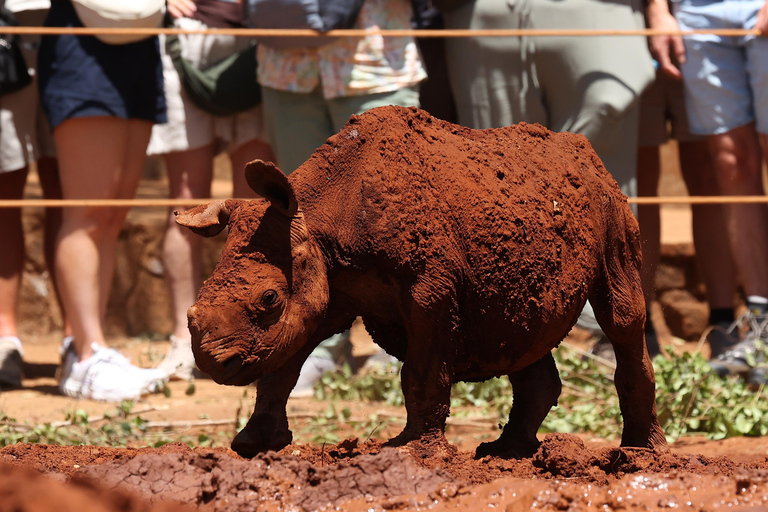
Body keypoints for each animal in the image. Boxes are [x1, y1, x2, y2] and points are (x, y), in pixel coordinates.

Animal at [178, 106, 664, 458]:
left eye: (269, 298)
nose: (214, 364)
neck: (318, 216)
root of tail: (587, 153)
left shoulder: (429, 288)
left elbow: (421, 371)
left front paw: (414, 451)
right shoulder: (325, 282)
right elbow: (282, 367)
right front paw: (252, 446)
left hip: (610, 203)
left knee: (622, 315)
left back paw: (641, 455)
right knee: (522, 327)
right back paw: (505, 453)